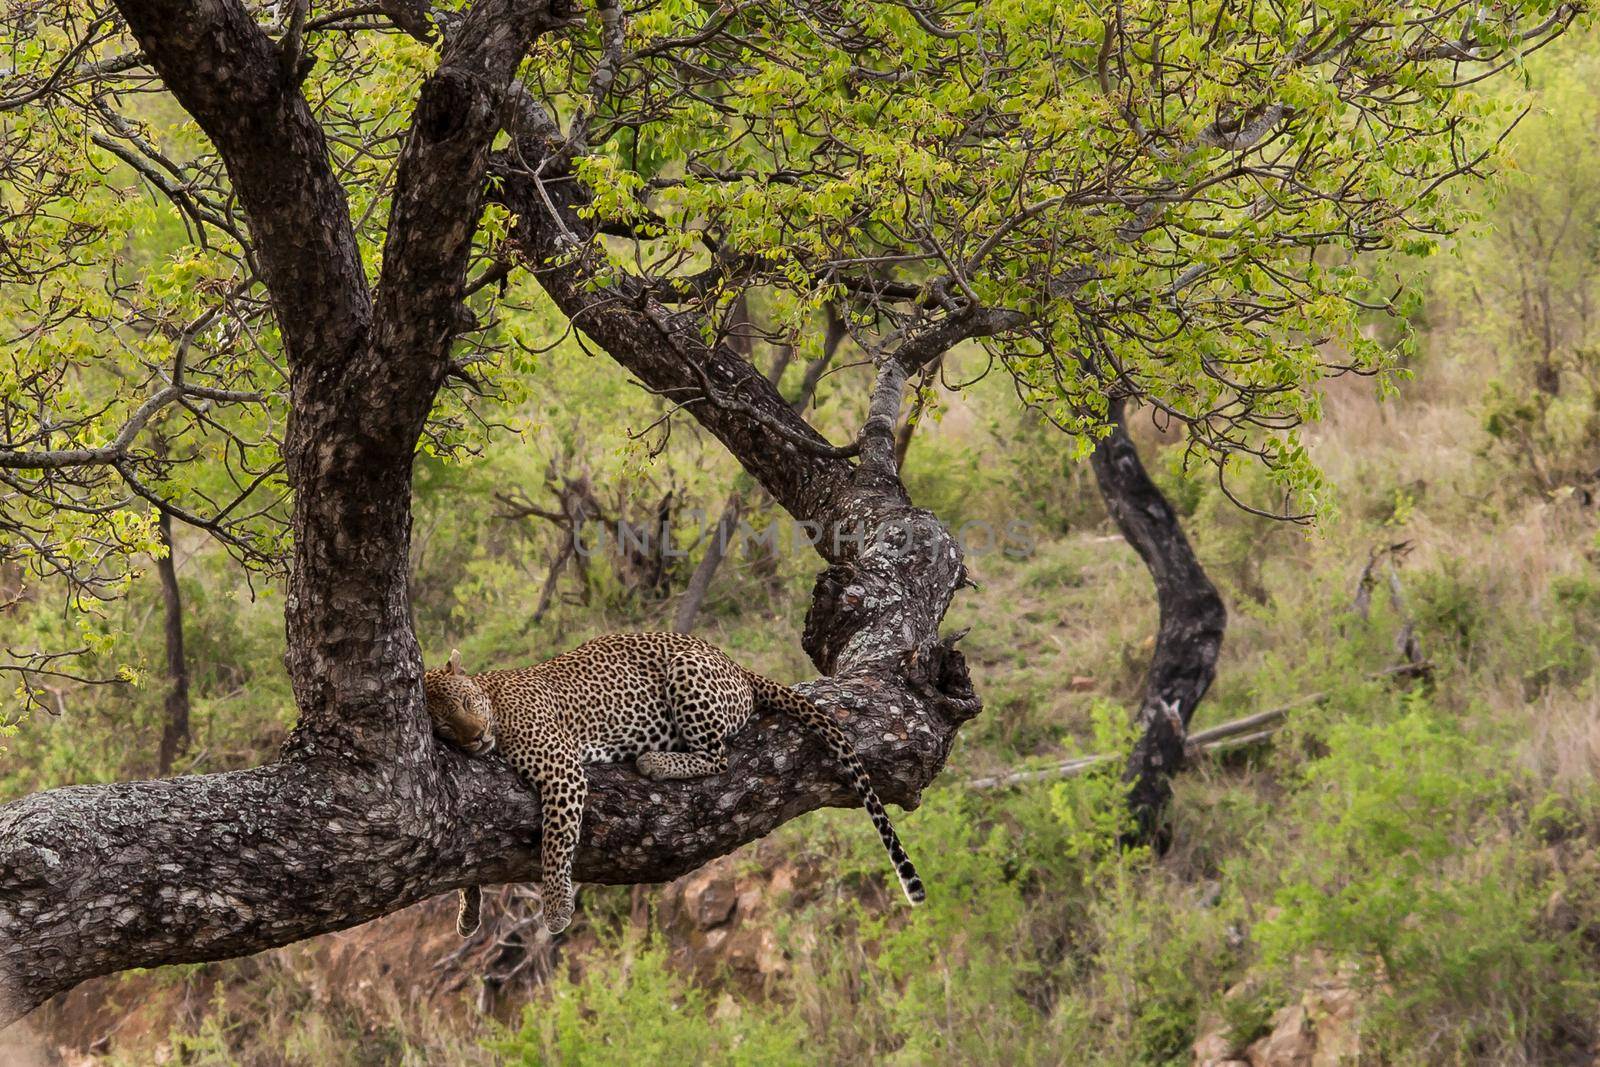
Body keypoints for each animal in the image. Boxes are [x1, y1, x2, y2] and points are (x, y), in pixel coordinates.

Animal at [425, 630, 928, 940]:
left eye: (466, 704)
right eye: (444, 727)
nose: (475, 736)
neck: (492, 698)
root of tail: (736, 664)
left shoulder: (561, 767)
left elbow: (556, 842)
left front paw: (554, 906)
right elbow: (474, 854)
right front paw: (469, 911)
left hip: (686, 674)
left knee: (719, 758)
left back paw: (655, 762)